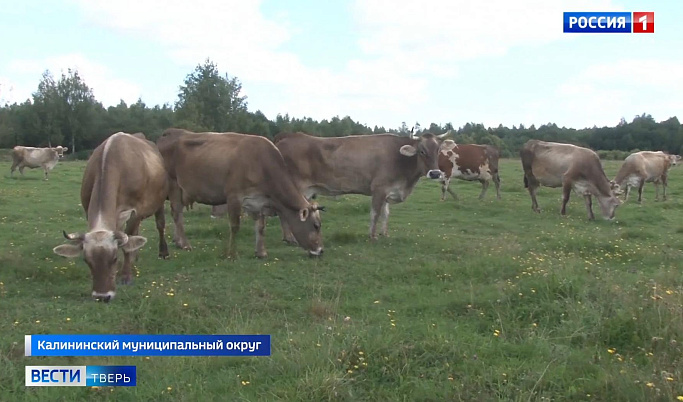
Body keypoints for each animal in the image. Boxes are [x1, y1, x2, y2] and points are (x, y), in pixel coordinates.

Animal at [52, 132, 170, 302]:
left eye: (113, 258)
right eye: (86, 260)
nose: (102, 296)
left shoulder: (136, 210)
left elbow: (128, 242)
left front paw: (126, 275)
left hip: (159, 201)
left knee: (160, 225)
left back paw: (163, 252)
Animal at [156, 130, 324, 260]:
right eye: (316, 226)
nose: (321, 251)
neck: (261, 164)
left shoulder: (260, 201)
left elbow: (261, 227)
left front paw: (261, 252)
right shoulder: (234, 197)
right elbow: (235, 226)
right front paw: (231, 254)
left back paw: (178, 242)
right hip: (174, 186)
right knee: (177, 214)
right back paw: (184, 244)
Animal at [272, 132, 448, 240]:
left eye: (438, 150)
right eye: (422, 151)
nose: (435, 173)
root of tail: (289, 136)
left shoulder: (388, 191)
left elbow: (386, 214)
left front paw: (384, 234)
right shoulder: (379, 189)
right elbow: (375, 214)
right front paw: (372, 236)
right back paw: (290, 238)